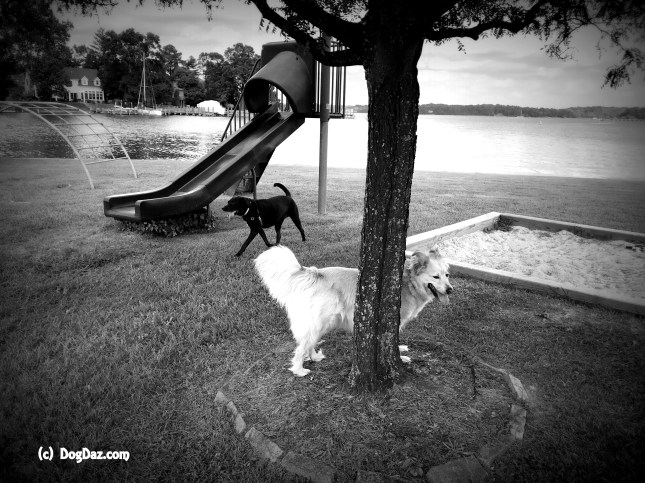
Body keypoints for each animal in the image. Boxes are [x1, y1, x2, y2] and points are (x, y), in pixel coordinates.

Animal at [254, 245, 453, 376]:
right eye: (436, 277)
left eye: (447, 275)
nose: (450, 290)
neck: (408, 282)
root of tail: (316, 273)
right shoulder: (393, 321)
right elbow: (392, 339)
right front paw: (400, 356)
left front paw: (400, 349)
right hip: (320, 322)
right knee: (301, 347)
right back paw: (299, 370)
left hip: (322, 324)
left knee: (308, 343)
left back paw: (314, 357)